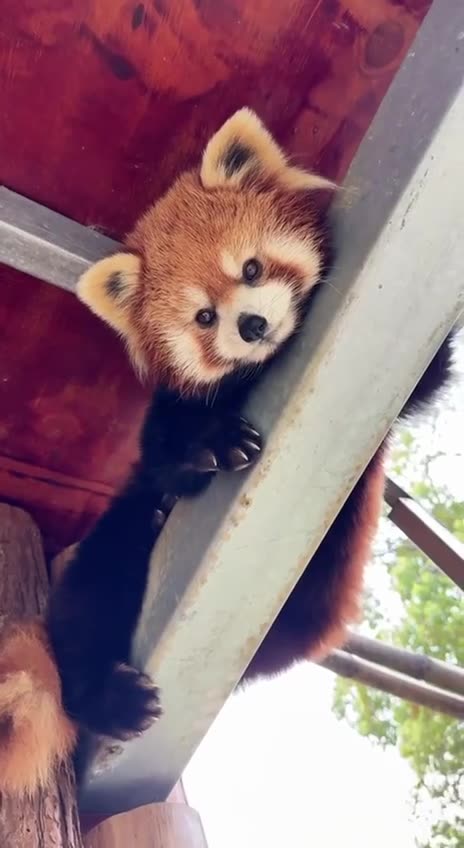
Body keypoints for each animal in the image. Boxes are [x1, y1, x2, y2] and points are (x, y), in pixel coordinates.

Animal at [0, 109, 456, 794]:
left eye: (252, 269)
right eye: (204, 318)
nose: (252, 327)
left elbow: (428, 377)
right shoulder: (164, 419)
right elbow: (165, 453)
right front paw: (212, 443)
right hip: (109, 555)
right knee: (91, 597)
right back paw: (108, 693)